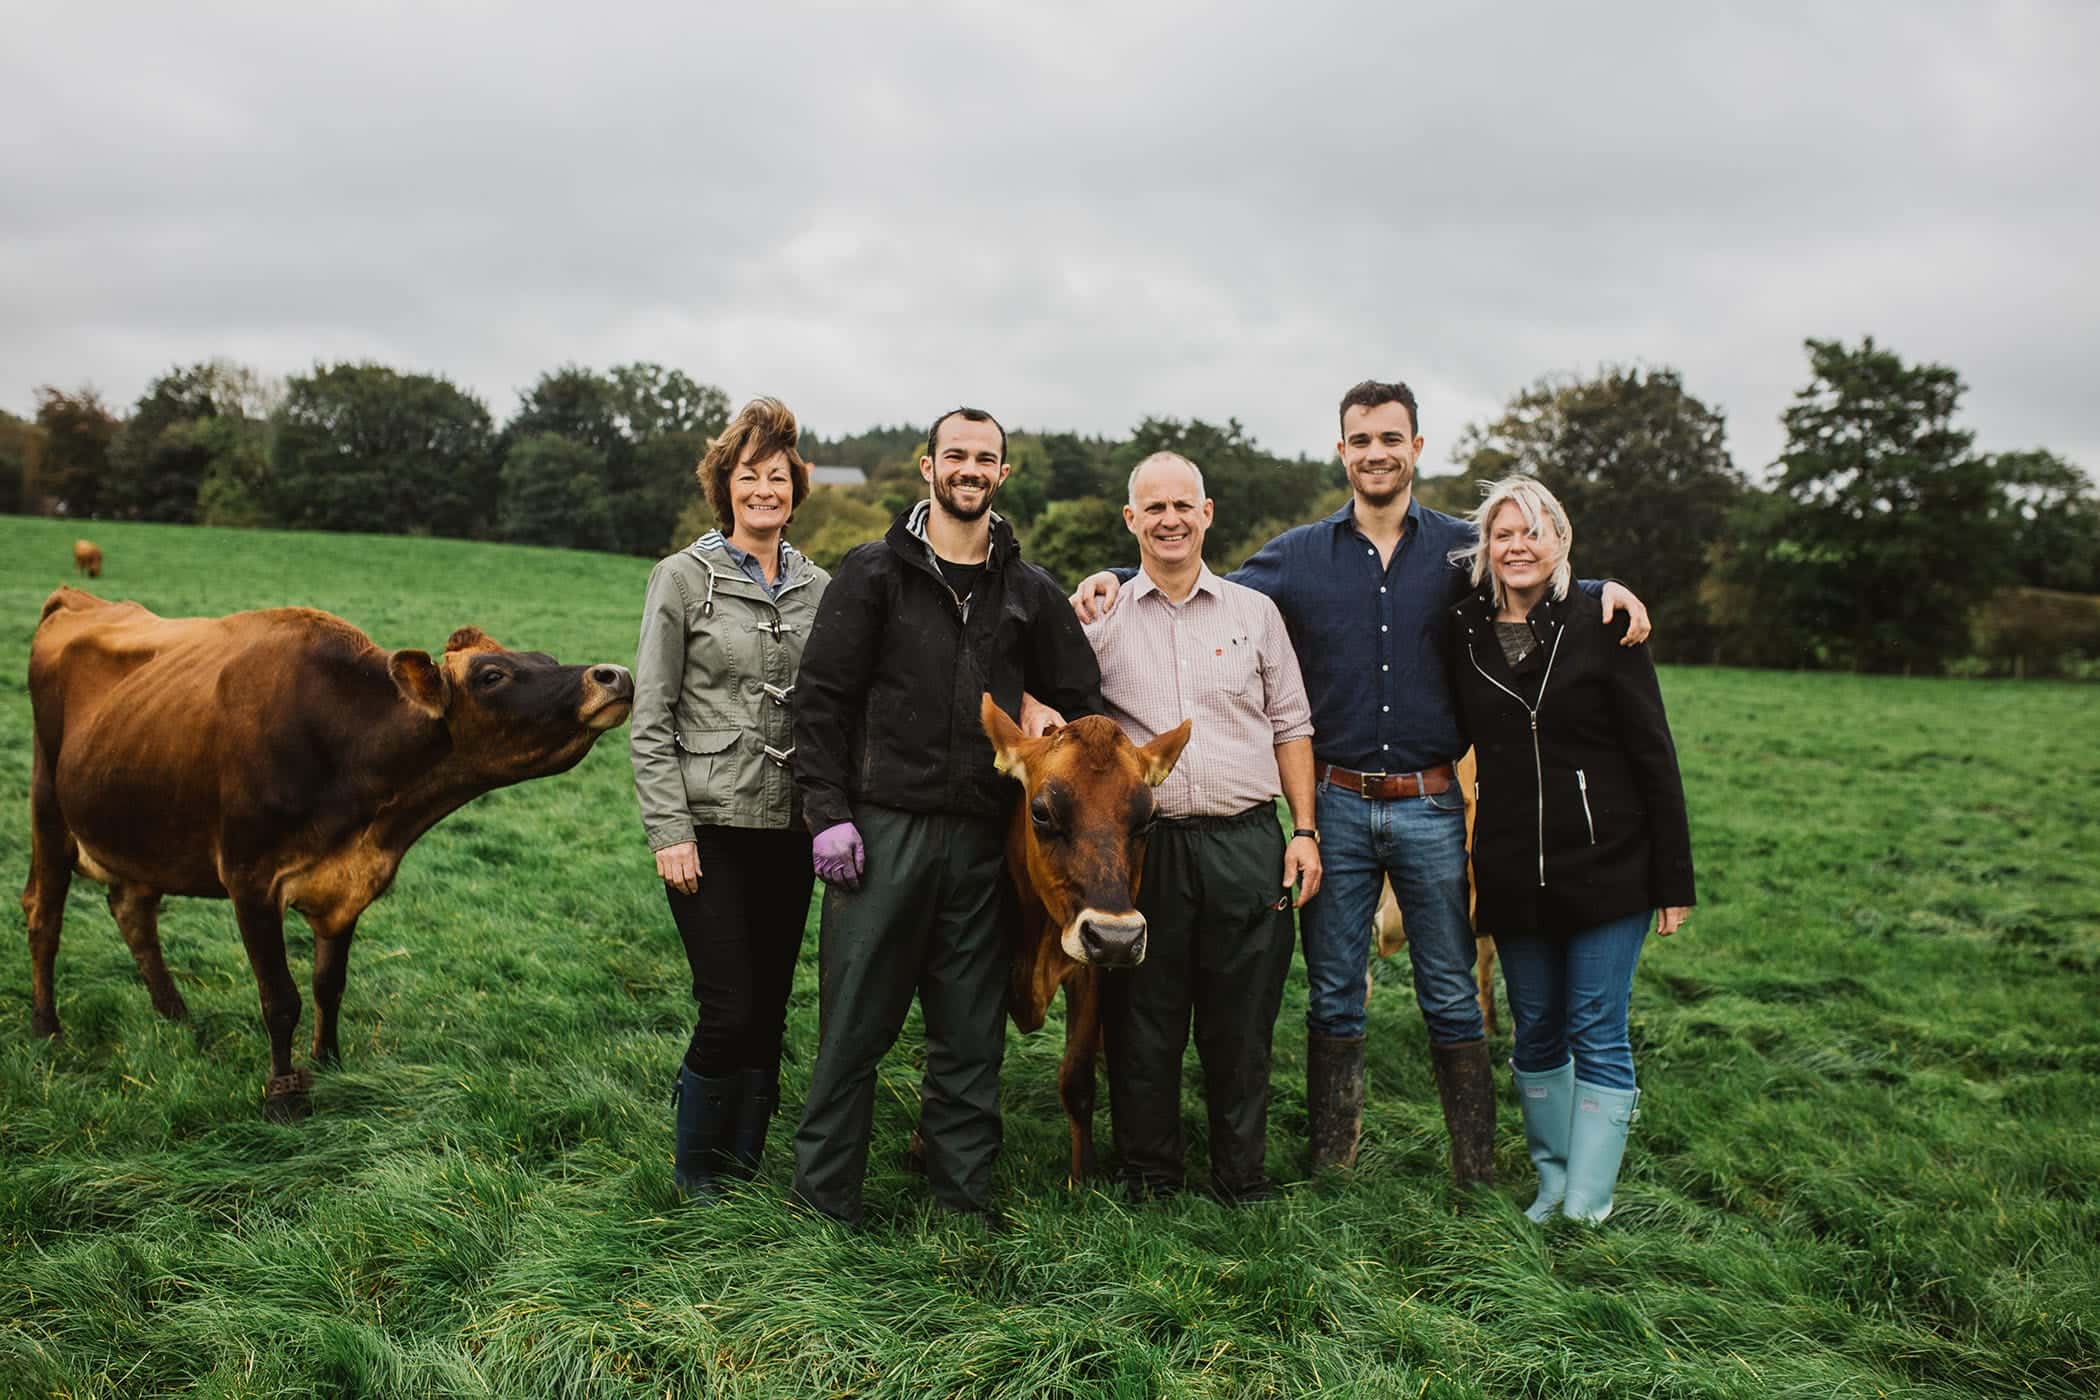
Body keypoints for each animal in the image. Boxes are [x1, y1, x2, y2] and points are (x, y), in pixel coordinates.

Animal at [22, 587, 630, 1125]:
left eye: (545, 659)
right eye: (492, 675)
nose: (613, 675)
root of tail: (78, 600)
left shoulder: (347, 885)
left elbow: (327, 985)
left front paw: (330, 1062)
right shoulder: (249, 879)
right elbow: (280, 997)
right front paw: (283, 1094)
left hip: (137, 827)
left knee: (133, 913)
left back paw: (177, 1017)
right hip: (49, 808)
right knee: (43, 917)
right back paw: (47, 1027)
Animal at [974, 696, 1192, 1183]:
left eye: (1149, 819)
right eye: (1041, 811)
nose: (1116, 937)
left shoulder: (1090, 973)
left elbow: (1076, 1077)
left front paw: (1084, 1179)